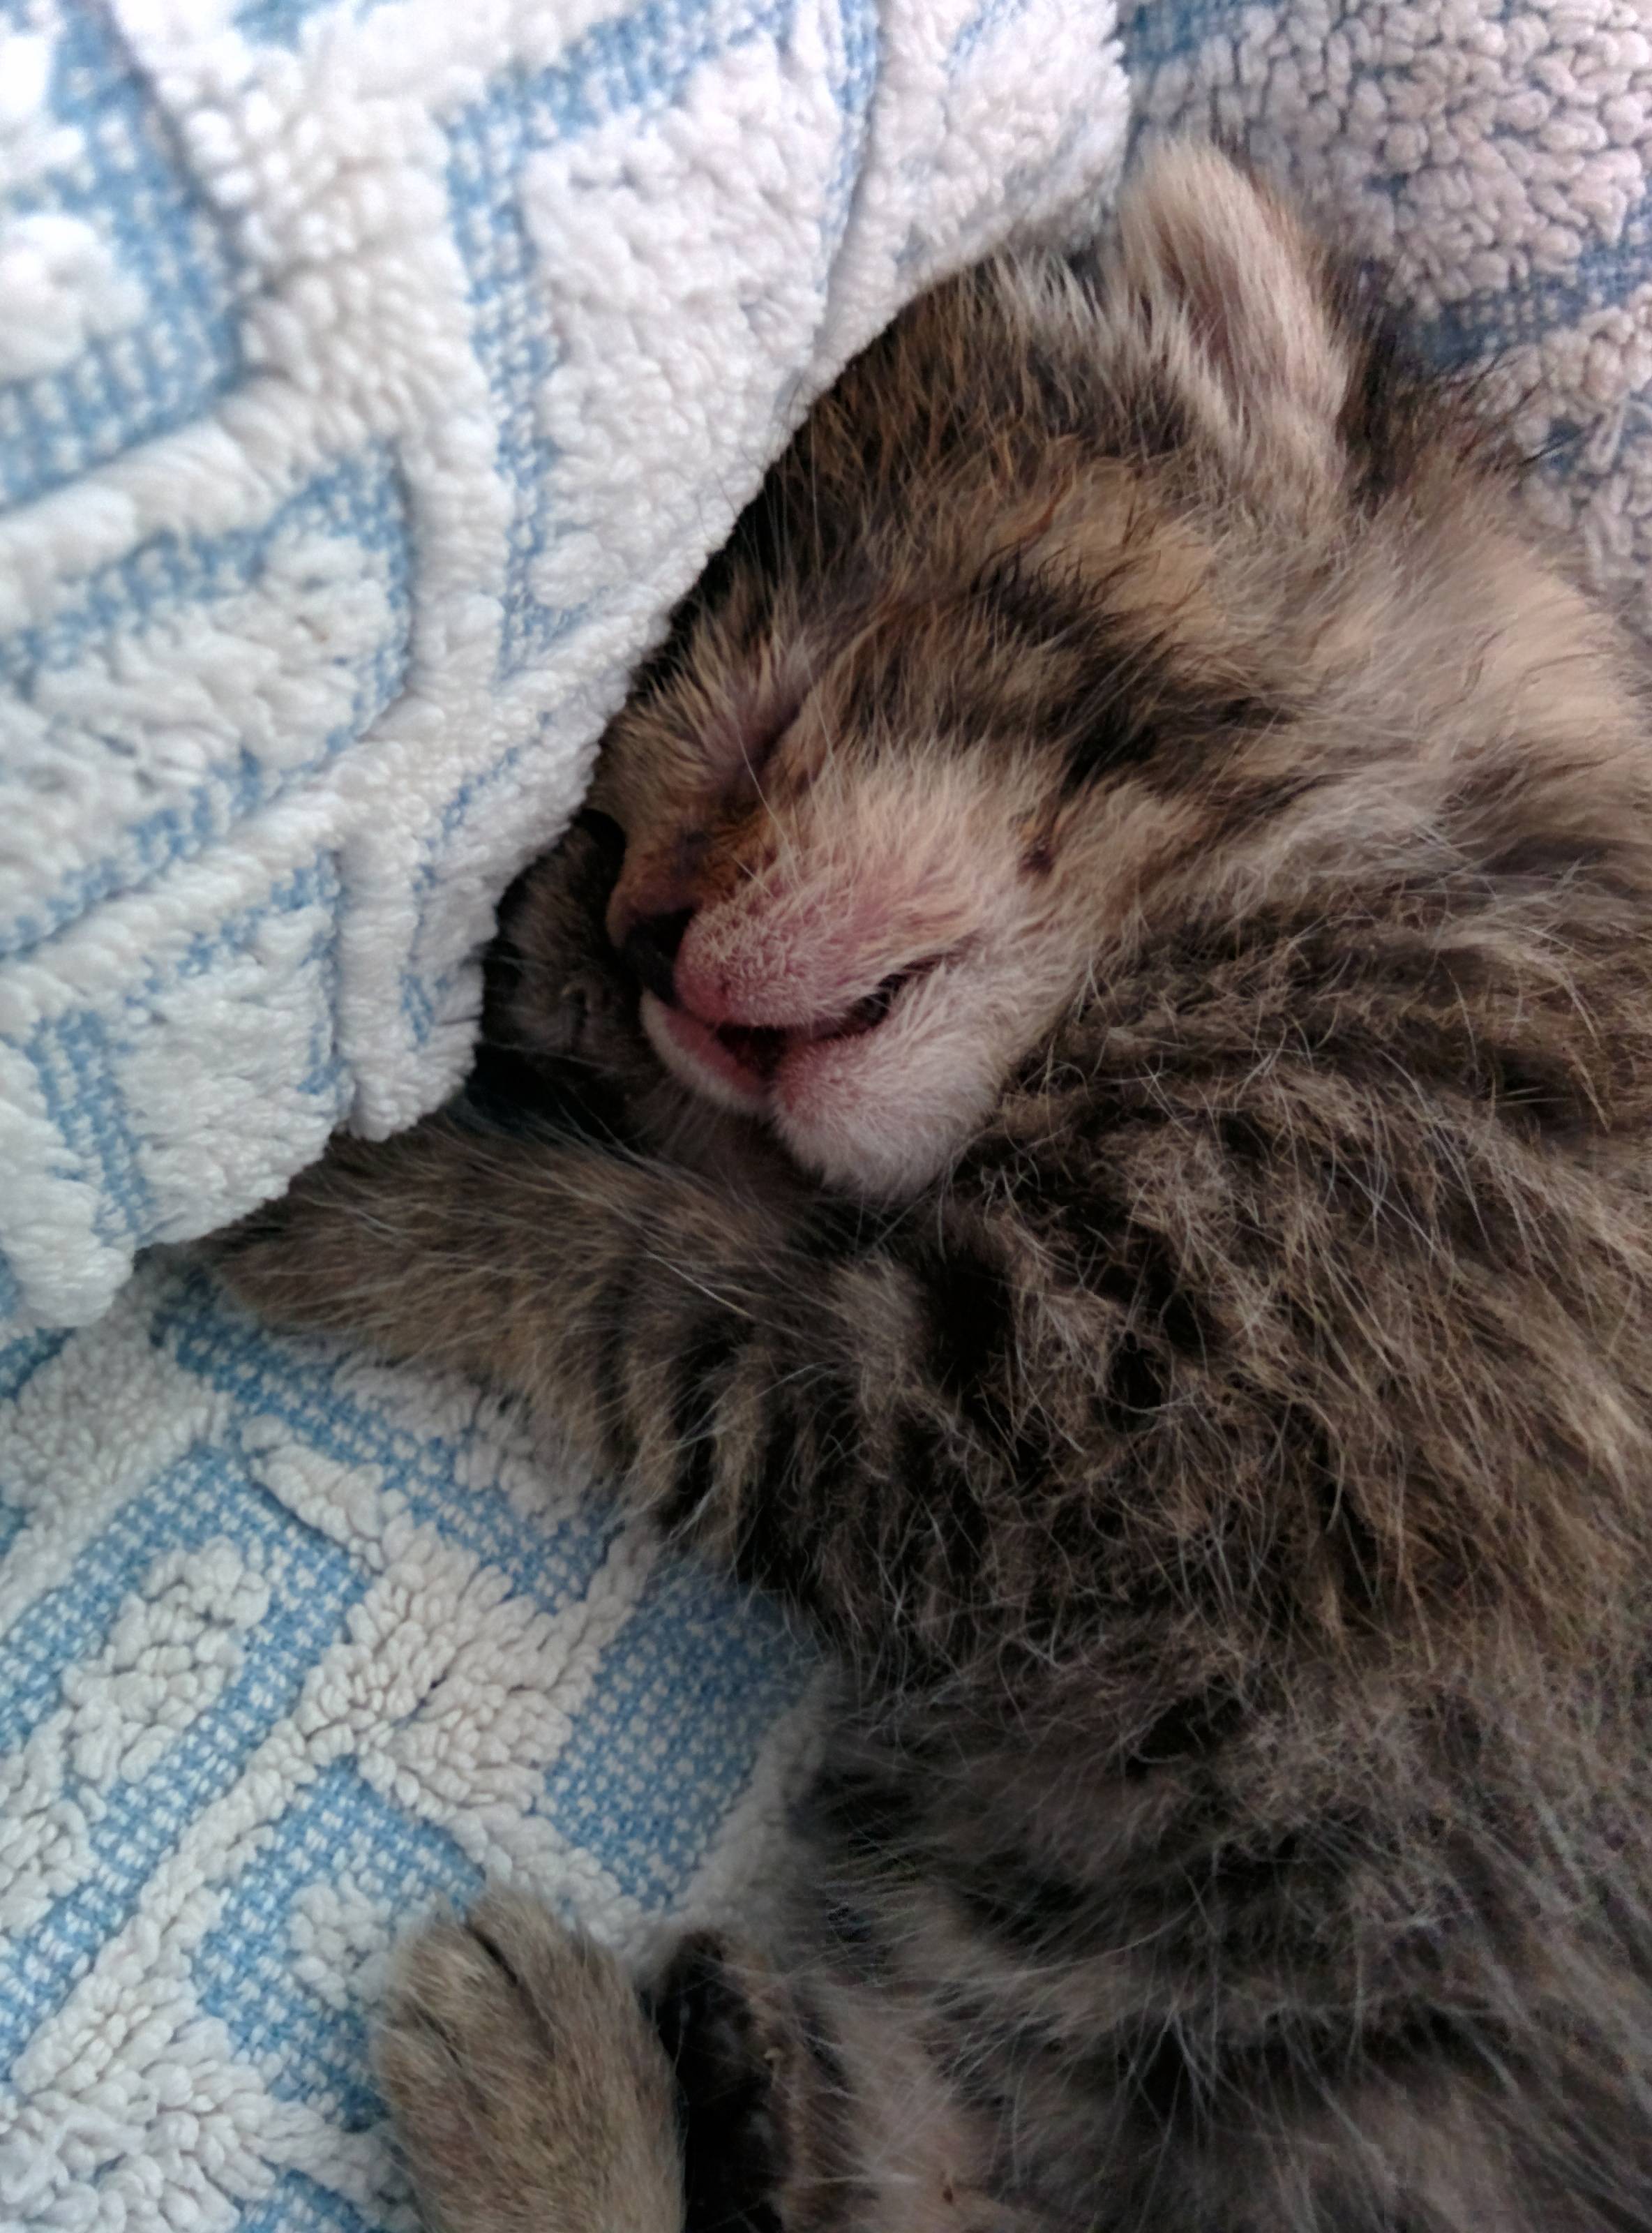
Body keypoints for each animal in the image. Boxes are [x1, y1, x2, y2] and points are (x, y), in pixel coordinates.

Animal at [225, 144, 1652, 2233]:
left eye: (785, 703)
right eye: (612, 827)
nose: (641, 940)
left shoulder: (1033, 1420)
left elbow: (628, 1276)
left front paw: (372, 1190)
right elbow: (710, 1215)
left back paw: (546, 2074)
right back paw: (695, 2076)